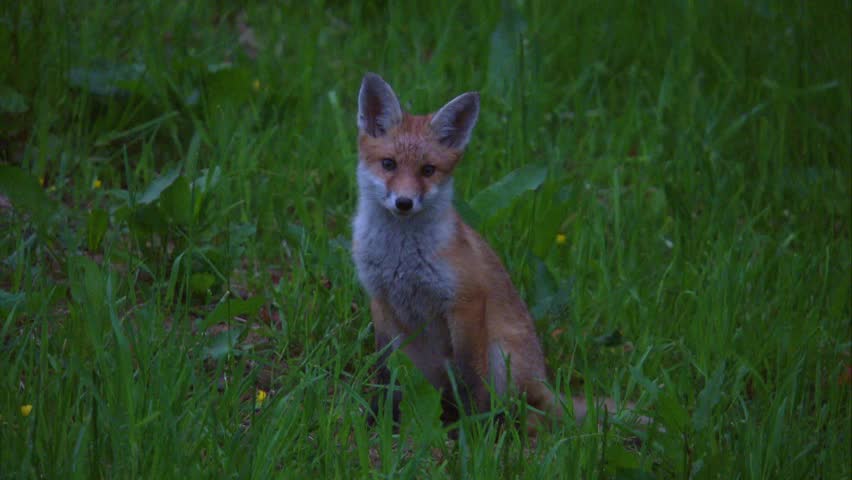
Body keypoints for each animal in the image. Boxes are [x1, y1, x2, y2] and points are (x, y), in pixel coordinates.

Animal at [352, 73, 605, 431]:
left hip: (501, 355)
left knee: (517, 408)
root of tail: (543, 380)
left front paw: (472, 434)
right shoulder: (381, 300)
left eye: (428, 170)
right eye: (389, 164)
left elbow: (471, 376)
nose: (404, 202)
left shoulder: (466, 302)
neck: (400, 255)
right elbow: (385, 371)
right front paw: (379, 417)